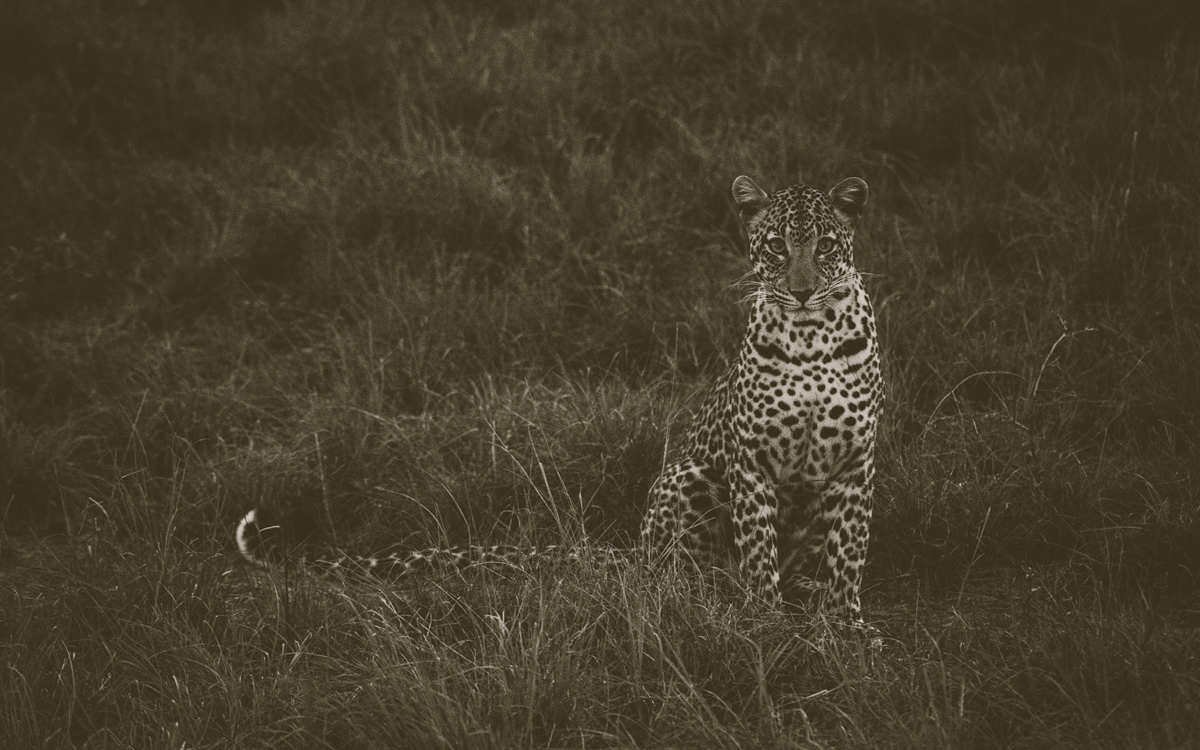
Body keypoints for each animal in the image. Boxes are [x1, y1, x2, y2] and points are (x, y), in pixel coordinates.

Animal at [238, 174, 888, 619]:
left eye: (825, 246)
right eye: (776, 245)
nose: (801, 290)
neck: (810, 337)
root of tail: (634, 552)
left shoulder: (856, 462)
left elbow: (849, 553)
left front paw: (845, 628)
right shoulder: (751, 460)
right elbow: (758, 549)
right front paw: (765, 621)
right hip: (689, 479)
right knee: (677, 574)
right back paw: (708, 599)